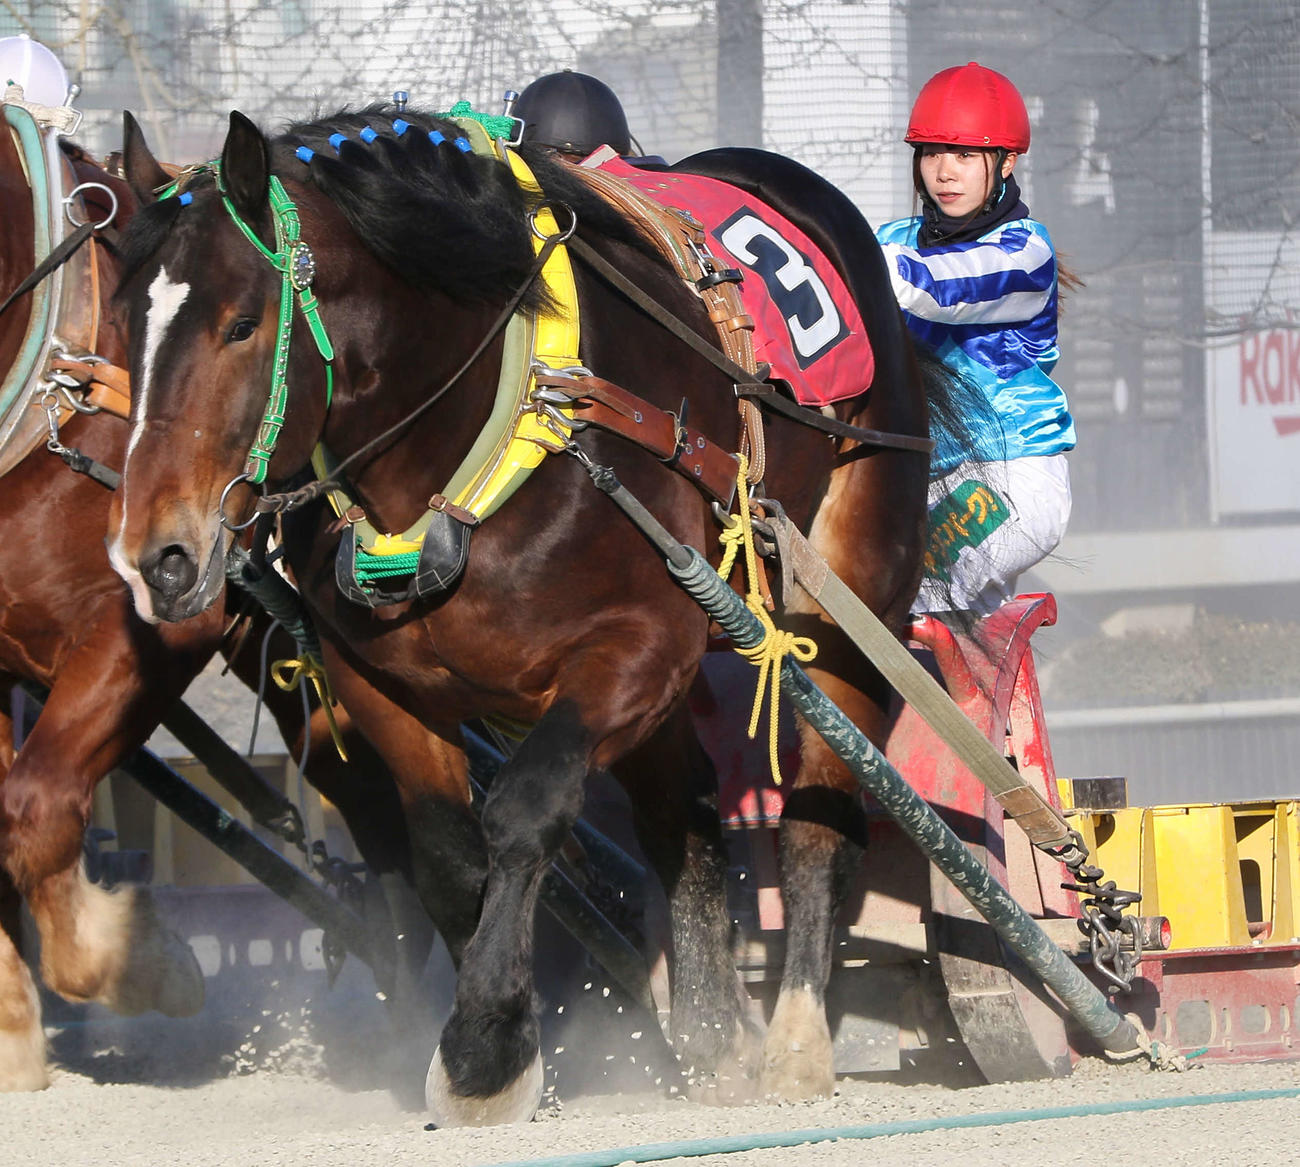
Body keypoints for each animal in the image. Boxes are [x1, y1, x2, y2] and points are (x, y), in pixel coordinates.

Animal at [108, 104, 953, 1124]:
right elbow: (447, 855)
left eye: (241, 322)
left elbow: (525, 808)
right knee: (684, 811)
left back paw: (794, 1043)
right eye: (122, 321)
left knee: (819, 814)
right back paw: (714, 1040)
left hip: (852, 596)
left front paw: (486, 1050)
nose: (158, 554)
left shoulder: (634, 650)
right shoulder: (381, 682)